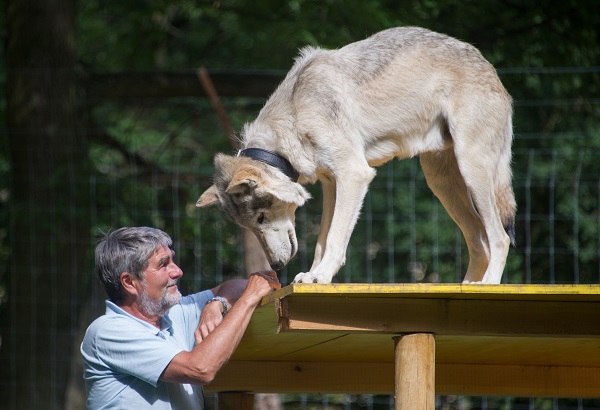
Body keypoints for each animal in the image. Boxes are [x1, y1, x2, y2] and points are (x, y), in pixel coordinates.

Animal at [197, 24, 516, 282]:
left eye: (262, 218)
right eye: (251, 226)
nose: (276, 266)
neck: (295, 113)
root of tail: (491, 70)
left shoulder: (354, 174)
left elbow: (335, 239)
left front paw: (322, 276)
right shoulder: (331, 184)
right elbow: (322, 240)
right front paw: (311, 275)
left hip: (471, 169)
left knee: (499, 238)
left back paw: (487, 286)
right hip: (441, 184)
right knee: (480, 241)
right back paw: (468, 286)